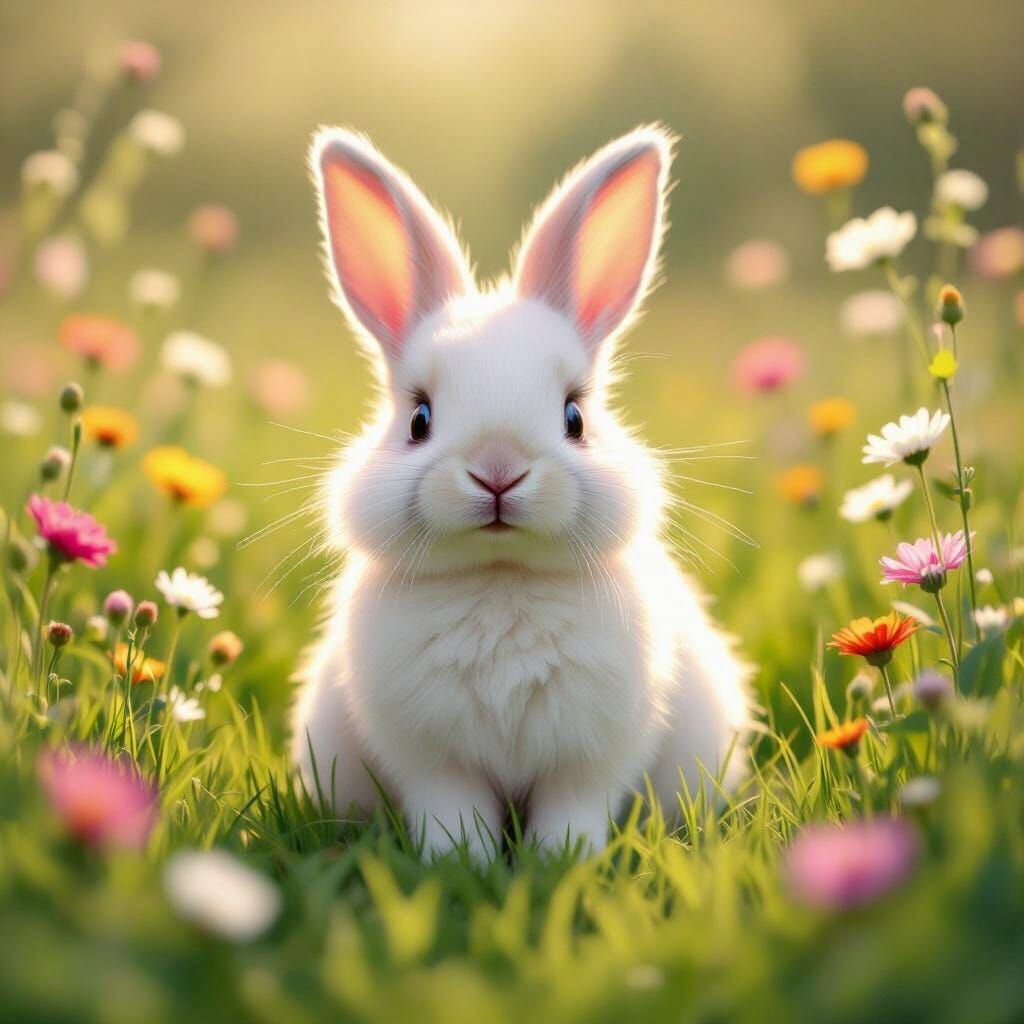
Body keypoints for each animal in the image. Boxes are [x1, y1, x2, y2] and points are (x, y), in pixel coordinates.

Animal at [291, 124, 754, 859]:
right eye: (419, 419)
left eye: (575, 418)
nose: (498, 470)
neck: (501, 575)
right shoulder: (435, 763)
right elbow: (453, 813)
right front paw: (462, 864)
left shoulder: (588, 760)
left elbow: (573, 811)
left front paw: (562, 862)